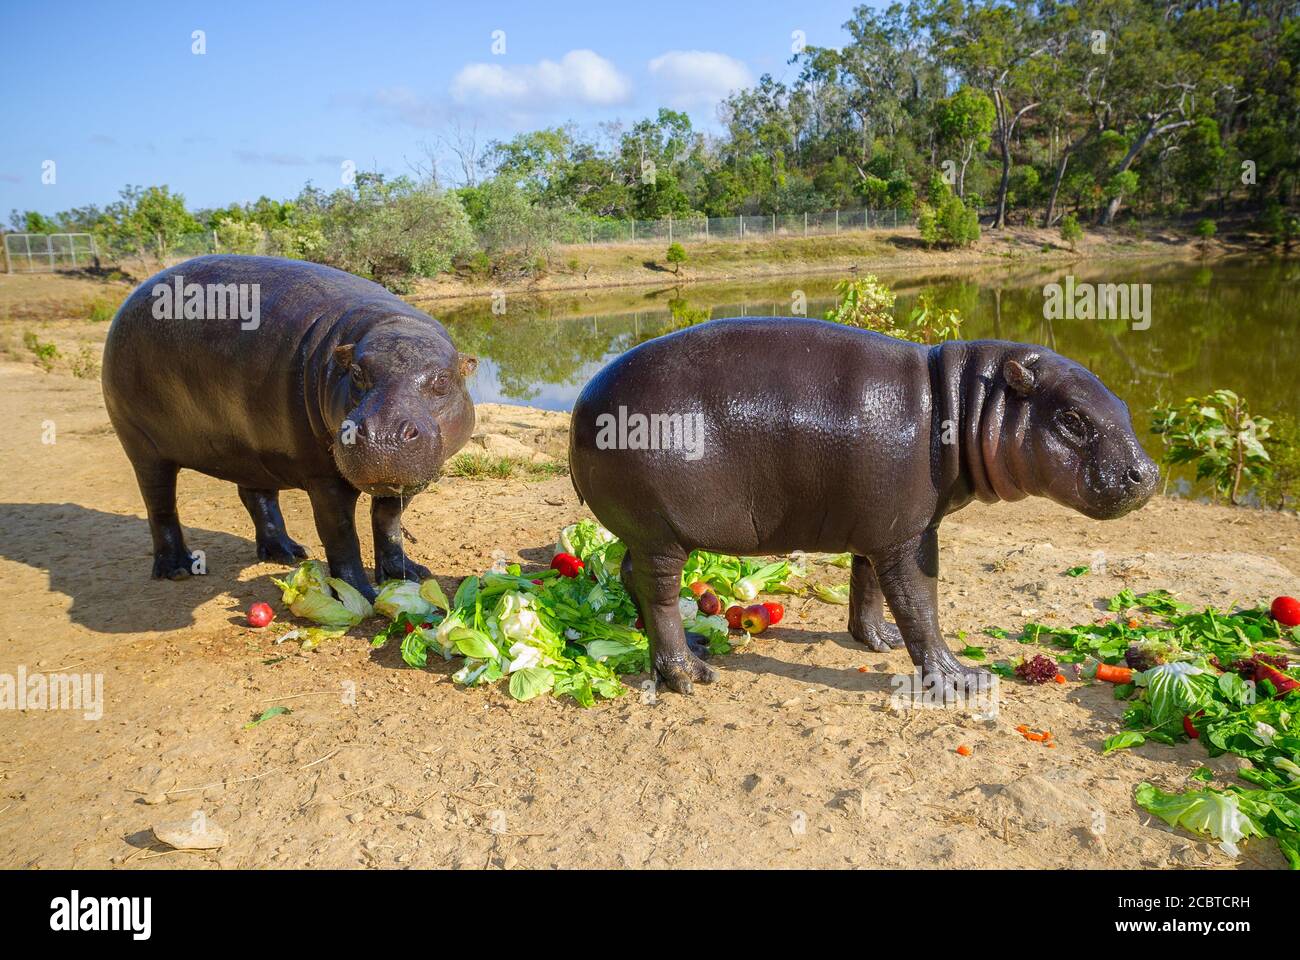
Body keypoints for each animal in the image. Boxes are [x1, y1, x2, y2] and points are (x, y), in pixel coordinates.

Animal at [102, 254, 478, 598]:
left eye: (443, 380)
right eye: (357, 373)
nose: (383, 435)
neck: (392, 323)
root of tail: (133, 296)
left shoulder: (407, 479)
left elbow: (388, 522)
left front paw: (408, 574)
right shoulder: (323, 478)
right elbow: (341, 535)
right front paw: (359, 594)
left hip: (247, 449)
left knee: (256, 495)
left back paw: (287, 553)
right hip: (142, 446)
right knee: (160, 504)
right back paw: (177, 568)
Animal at [569, 317, 1159, 692]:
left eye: (1124, 403)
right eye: (1073, 418)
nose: (1150, 474)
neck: (965, 403)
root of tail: (582, 401)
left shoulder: (878, 527)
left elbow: (869, 584)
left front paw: (878, 640)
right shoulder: (909, 535)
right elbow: (920, 604)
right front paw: (962, 680)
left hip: (649, 533)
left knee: (631, 576)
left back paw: (692, 644)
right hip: (662, 534)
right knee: (659, 593)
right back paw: (688, 675)